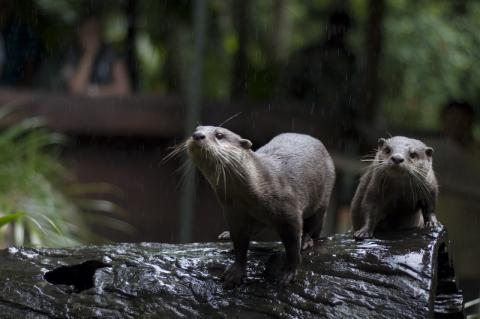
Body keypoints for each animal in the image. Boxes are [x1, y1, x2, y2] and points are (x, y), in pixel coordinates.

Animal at [186, 126, 336, 288]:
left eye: (219, 135)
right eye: (196, 129)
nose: (197, 135)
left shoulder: (289, 212)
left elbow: (293, 246)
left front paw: (289, 272)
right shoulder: (234, 215)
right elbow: (240, 245)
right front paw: (236, 271)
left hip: (322, 197)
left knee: (313, 223)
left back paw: (306, 241)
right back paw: (227, 235)